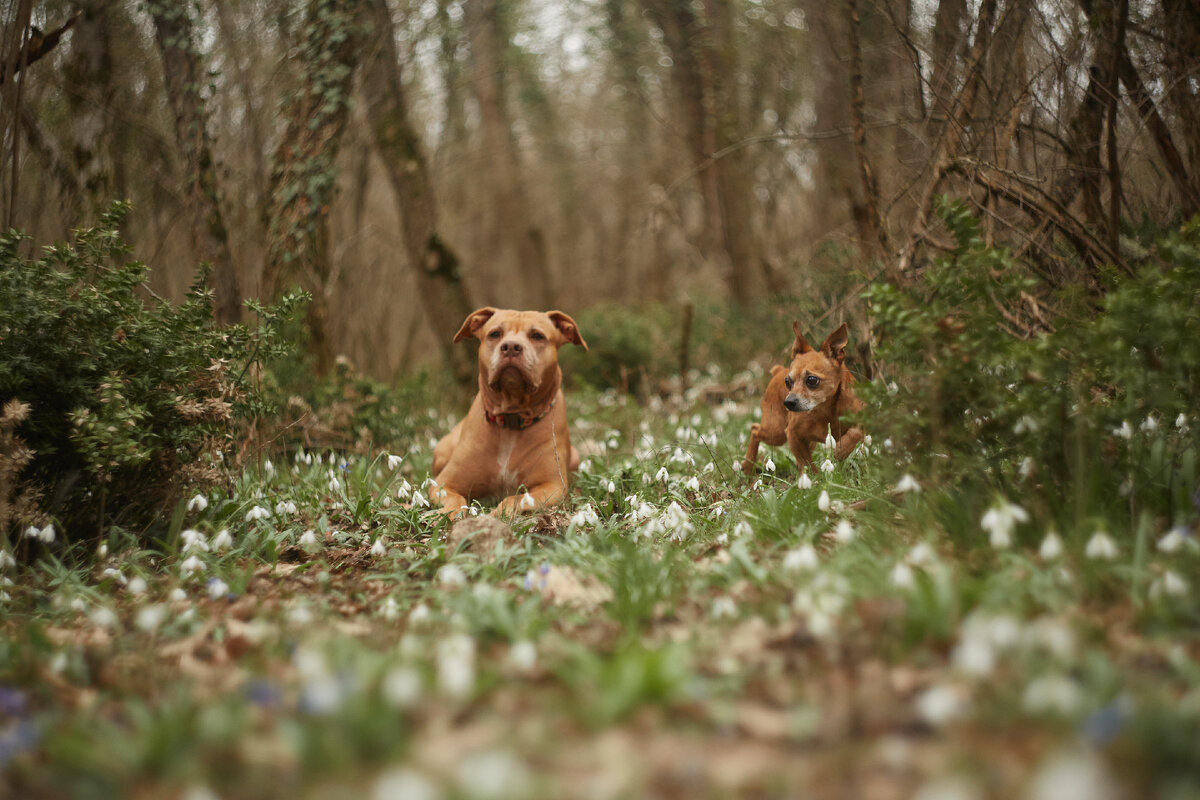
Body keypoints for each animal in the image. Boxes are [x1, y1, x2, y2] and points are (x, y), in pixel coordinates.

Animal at [434, 307, 588, 520]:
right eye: (495, 334)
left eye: (537, 336)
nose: (511, 347)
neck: (510, 419)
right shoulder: (443, 484)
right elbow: (454, 500)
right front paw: (451, 515)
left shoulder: (553, 487)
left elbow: (515, 498)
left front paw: (495, 515)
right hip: (442, 449)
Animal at [739, 321, 864, 474]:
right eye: (787, 382)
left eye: (812, 380)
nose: (788, 402)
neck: (825, 411)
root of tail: (778, 371)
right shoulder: (793, 434)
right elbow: (807, 463)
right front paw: (815, 478)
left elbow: (856, 432)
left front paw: (842, 449)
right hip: (776, 431)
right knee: (755, 430)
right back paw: (747, 467)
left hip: (802, 440)